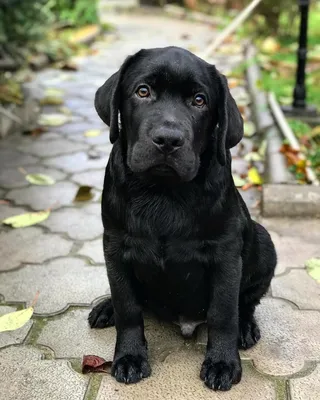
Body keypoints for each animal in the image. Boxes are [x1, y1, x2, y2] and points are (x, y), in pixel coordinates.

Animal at [89, 47, 276, 390]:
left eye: (199, 100)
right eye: (143, 91)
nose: (168, 139)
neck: (164, 191)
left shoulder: (226, 254)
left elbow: (223, 313)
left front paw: (222, 362)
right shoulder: (115, 246)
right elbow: (127, 306)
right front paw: (130, 356)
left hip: (263, 241)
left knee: (245, 302)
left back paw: (245, 327)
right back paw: (105, 307)